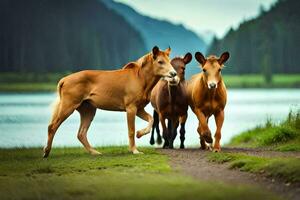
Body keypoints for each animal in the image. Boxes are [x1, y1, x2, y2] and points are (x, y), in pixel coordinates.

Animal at [43, 46, 177, 157]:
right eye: (160, 61)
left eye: (169, 61)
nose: (173, 73)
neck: (140, 79)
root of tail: (64, 79)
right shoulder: (131, 108)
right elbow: (131, 130)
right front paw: (134, 150)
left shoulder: (139, 109)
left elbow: (151, 119)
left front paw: (140, 133)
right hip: (68, 106)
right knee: (52, 127)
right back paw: (46, 151)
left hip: (88, 110)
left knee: (81, 133)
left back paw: (94, 152)